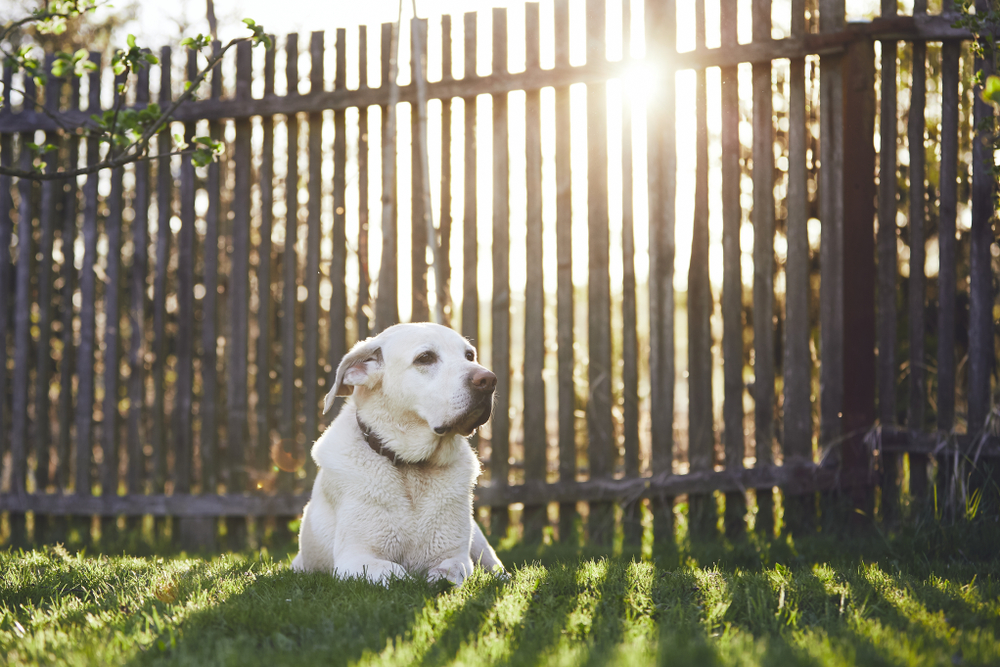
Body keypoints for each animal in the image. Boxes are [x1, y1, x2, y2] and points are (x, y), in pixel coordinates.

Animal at [292, 324, 504, 584]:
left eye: (469, 356)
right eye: (425, 358)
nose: (488, 380)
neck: (412, 467)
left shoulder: (454, 557)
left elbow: (449, 572)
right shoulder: (355, 559)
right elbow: (398, 573)